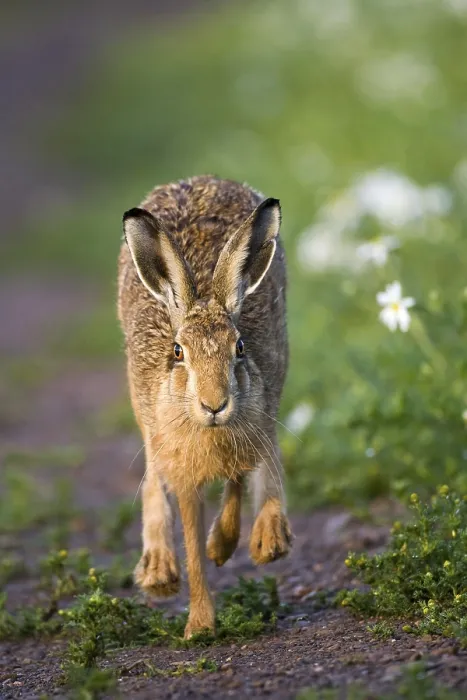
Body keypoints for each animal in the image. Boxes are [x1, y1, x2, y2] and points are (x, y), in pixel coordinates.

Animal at [118, 175, 292, 639]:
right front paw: (199, 627)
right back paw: (158, 572)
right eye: (178, 353)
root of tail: (201, 180)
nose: (215, 404)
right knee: (153, 476)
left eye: (240, 348)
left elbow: (236, 484)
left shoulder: (251, 428)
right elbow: (191, 544)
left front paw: (222, 546)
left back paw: (268, 541)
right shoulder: (183, 472)